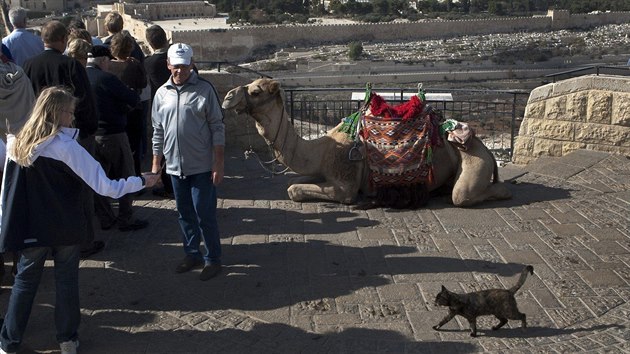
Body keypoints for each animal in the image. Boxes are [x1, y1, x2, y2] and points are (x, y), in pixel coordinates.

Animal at [223, 79, 512, 207]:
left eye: (255, 91)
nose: (227, 97)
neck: (321, 150)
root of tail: (484, 148)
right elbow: (293, 182)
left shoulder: (345, 185)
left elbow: (294, 190)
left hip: (473, 161)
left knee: (463, 195)